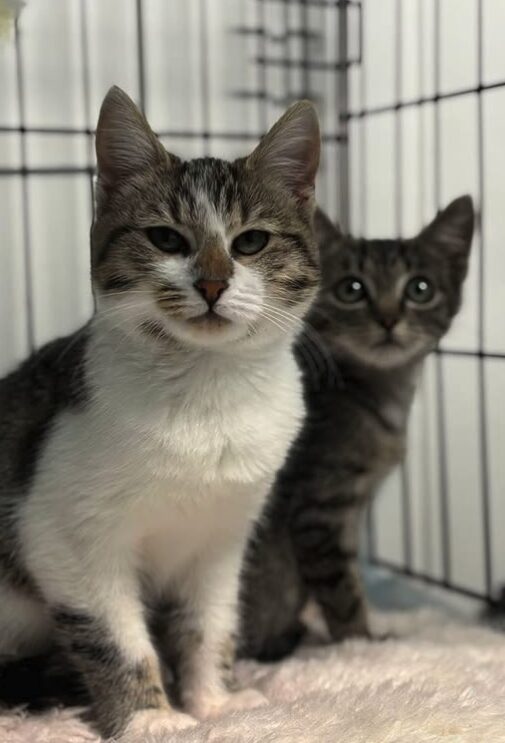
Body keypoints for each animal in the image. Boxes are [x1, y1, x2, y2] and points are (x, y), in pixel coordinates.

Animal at [0, 87, 318, 740]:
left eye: (251, 241)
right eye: (166, 239)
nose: (213, 283)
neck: (206, 393)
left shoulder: (223, 535)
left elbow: (208, 621)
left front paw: (214, 702)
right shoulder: (60, 532)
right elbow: (114, 635)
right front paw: (150, 716)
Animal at [242, 195, 474, 660]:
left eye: (420, 288)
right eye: (351, 289)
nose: (387, 319)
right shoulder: (320, 509)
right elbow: (342, 589)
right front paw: (361, 642)